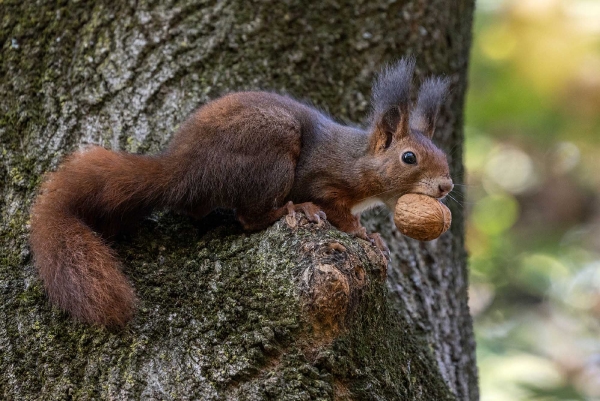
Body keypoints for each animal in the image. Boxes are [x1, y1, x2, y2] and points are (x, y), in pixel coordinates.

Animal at [27, 58, 450, 328]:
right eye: (409, 157)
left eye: (444, 156)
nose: (446, 186)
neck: (360, 161)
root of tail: (183, 168)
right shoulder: (326, 181)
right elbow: (339, 212)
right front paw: (363, 234)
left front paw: (374, 236)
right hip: (270, 153)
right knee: (250, 217)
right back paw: (292, 209)